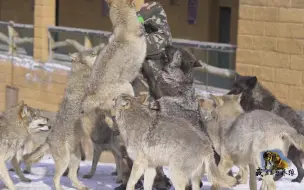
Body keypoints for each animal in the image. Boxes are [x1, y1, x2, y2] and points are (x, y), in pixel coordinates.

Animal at [23, 49, 97, 189]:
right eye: (87, 52)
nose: (95, 52)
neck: (81, 70)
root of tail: (48, 139)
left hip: (75, 158)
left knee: (71, 176)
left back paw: (81, 187)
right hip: (64, 161)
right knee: (56, 178)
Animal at [107, 94, 238, 190]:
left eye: (116, 98)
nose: (112, 98)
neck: (131, 120)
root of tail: (207, 145)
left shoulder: (139, 163)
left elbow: (130, 182)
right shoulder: (151, 167)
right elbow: (147, 185)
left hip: (175, 174)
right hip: (194, 178)